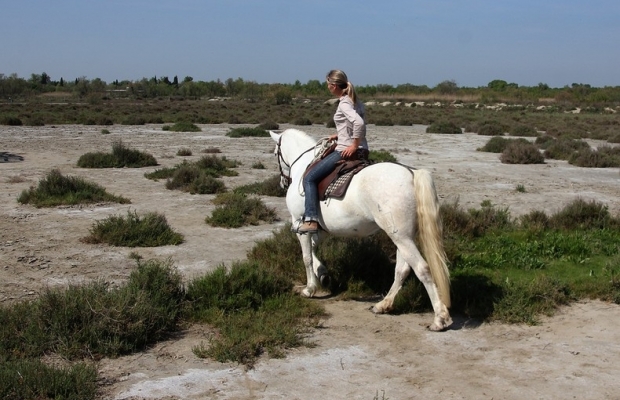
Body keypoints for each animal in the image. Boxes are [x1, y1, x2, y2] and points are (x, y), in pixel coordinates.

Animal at [268, 129, 452, 332]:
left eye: (275, 153)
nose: (283, 183)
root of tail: (412, 173)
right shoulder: (320, 228)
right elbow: (314, 248)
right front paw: (323, 274)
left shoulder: (300, 224)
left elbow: (306, 257)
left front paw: (310, 288)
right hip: (404, 238)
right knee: (402, 270)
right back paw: (383, 305)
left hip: (402, 238)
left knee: (422, 269)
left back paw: (439, 319)